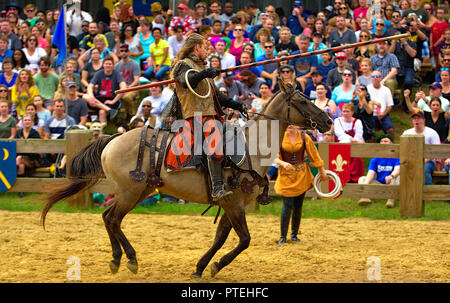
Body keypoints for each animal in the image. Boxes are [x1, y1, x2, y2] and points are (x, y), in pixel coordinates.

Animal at [40, 81, 332, 280]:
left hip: (139, 192)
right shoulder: (234, 204)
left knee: (108, 218)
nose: (328, 120)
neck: (251, 149)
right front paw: (214, 265)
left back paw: (116, 259)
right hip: (130, 193)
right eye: (303, 101)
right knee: (112, 219)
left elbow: (221, 239)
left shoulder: (230, 206)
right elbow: (244, 239)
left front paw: (203, 267)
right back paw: (130, 260)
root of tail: (113, 138)